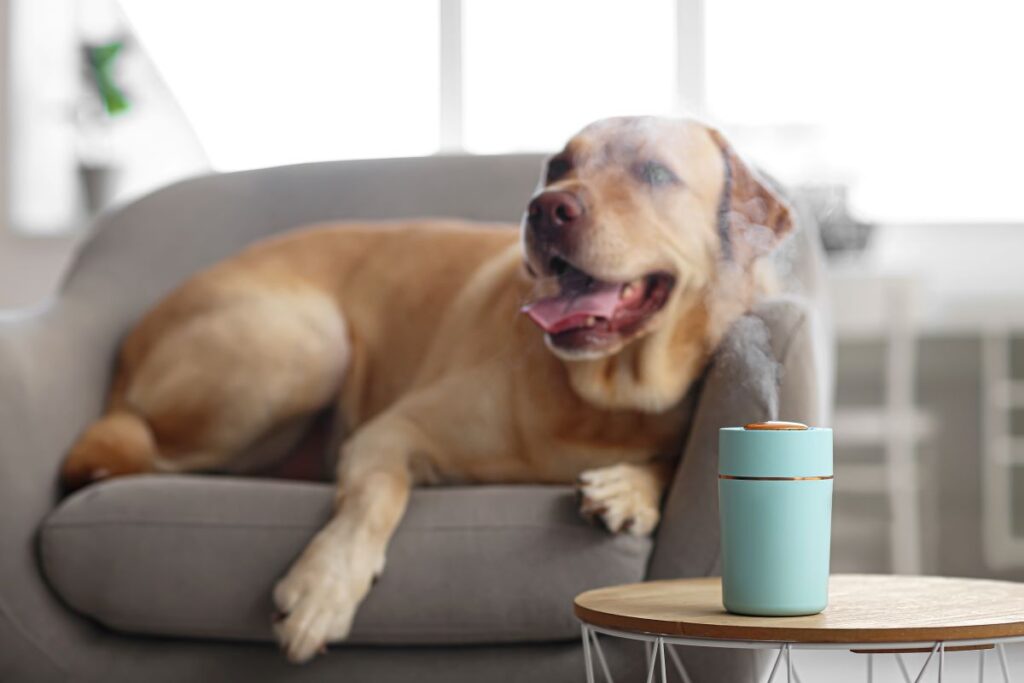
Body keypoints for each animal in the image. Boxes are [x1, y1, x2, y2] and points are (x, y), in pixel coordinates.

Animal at [59, 116, 790, 663]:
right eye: (558, 164)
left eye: (655, 173)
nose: (545, 208)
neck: (602, 393)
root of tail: (131, 344)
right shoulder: (390, 432)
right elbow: (376, 497)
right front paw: (325, 587)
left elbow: (675, 458)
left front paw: (630, 489)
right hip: (310, 343)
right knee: (130, 454)